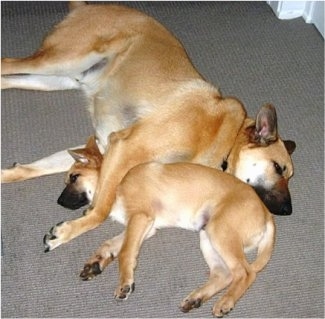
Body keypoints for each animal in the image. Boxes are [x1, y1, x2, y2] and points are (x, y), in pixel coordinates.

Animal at [0, 2, 294, 252]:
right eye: (279, 168)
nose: (289, 211)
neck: (226, 138)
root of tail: (88, 6)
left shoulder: (105, 149)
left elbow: (35, 169)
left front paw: (9, 174)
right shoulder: (126, 147)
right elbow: (101, 210)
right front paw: (70, 230)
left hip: (56, 78)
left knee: (8, 78)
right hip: (61, 59)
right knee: (6, 63)